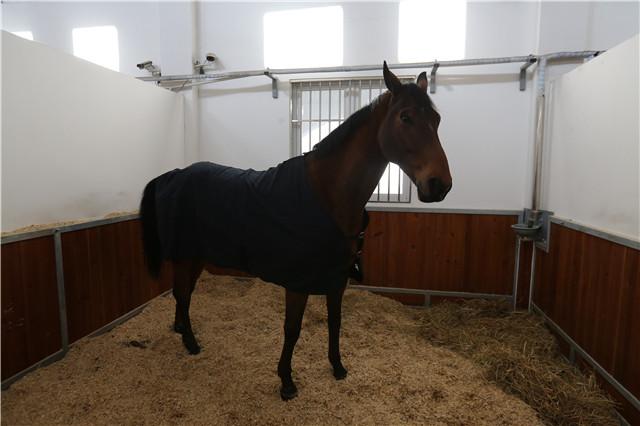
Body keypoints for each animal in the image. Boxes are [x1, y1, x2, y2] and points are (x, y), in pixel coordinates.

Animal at [139, 62, 452, 401]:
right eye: (405, 117)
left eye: (436, 119)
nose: (440, 185)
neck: (327, 195)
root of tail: (173, 174)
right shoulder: (297, 283)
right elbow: (292, 329)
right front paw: (287, 382)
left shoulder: (337, 280)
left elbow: (335, 322)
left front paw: (337, 367)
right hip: (186, 255)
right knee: (182, 294)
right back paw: (191, 343)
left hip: (193, 256)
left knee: (183, 293)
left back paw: (182, 331)